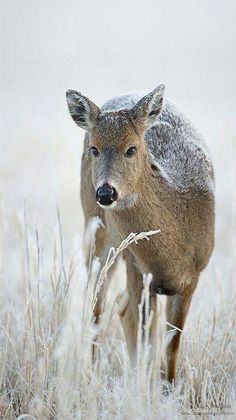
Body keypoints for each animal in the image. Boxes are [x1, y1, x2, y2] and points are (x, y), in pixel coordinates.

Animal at [65, 85, 215, 384]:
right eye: (94, 149)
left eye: (131, 149)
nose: (106, 192)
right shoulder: (138, 267)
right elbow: (149, 341)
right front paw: (144, 386)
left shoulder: (193, 274)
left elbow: (171, 345)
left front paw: (168, 387)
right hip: (98, 234)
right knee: (97, 305)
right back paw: (93, 372)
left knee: (121, 307)